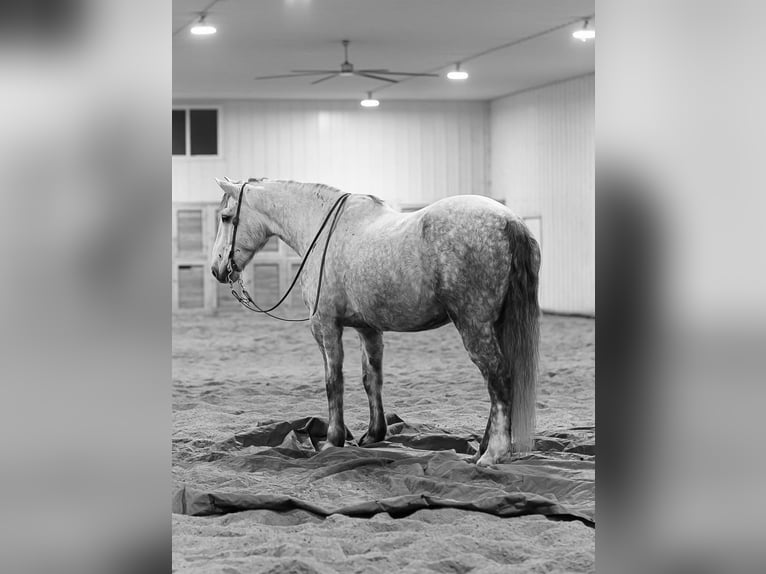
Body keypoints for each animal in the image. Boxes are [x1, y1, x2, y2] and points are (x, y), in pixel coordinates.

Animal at [210, 178, 541, 466]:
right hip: (496, 324)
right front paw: (373, 435)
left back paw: (492, 454)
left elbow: (334, 381)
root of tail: (509, 221)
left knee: (498, 378)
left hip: (475, 326)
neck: (324, 231)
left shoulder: (325, 325)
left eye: (226, 217)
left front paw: (333, 440)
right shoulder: (367, 328)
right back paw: (480, 450)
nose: (216, 268)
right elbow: (372, 378)